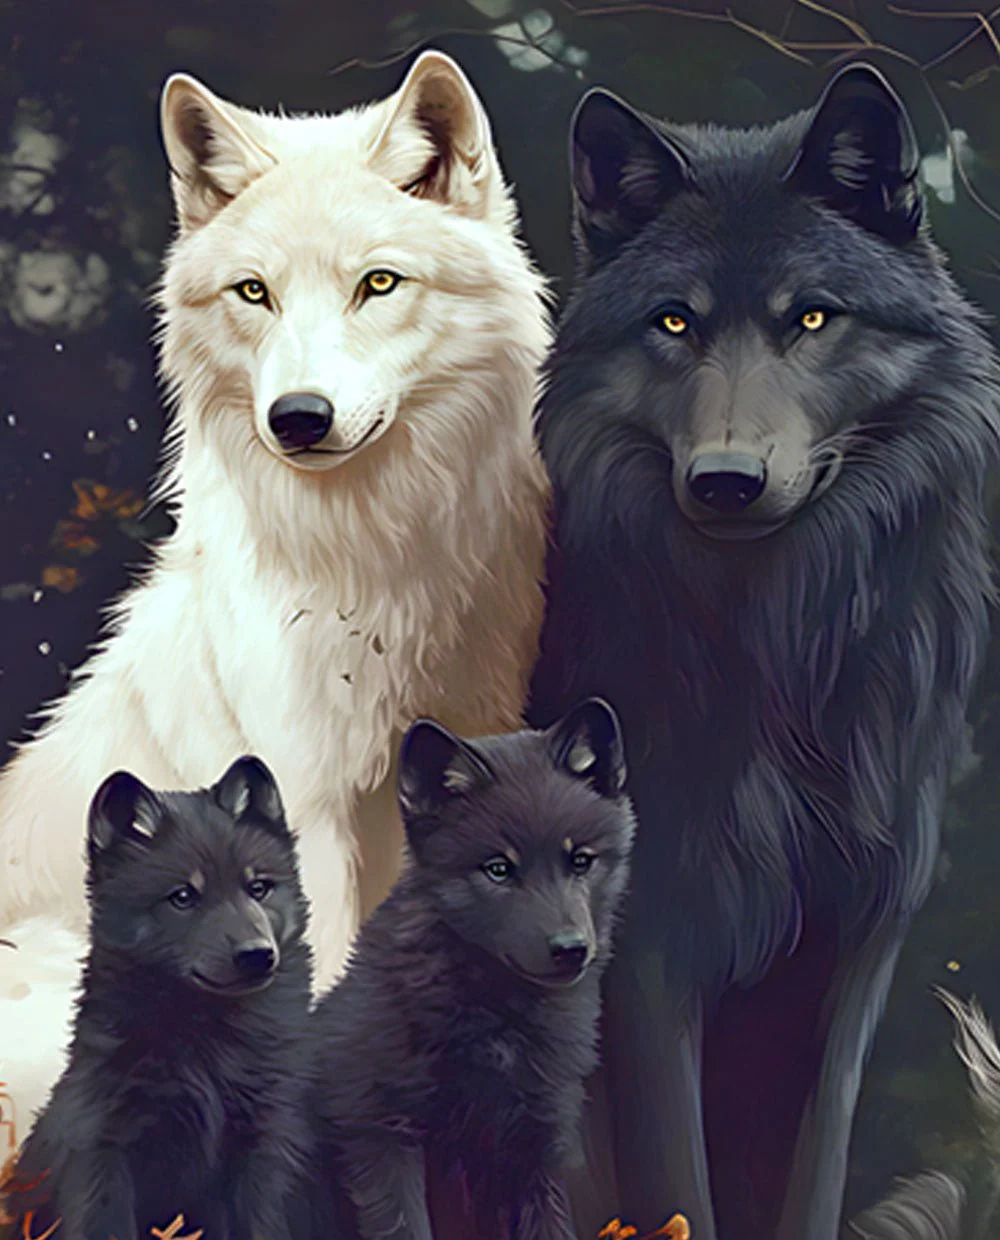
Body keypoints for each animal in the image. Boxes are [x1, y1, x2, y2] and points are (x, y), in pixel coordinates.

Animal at [0, 756, 313, 1240]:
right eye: (183, 897)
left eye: (258, 888)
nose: (258, 955)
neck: (210, 1046)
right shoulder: (104, 1145)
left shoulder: (264, 1143)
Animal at [306, 699, 635, 1240]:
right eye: (498, 869)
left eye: (581, 861)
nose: (570, 949)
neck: (499, 1021)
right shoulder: (379, 1135)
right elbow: (405, 1227)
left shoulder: (536, 1145)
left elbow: (550, 1225)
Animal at [528, 62, 1000, 1240]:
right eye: (674, 321)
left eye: (812, 317)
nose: (727, 482)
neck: (783, 654)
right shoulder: (649, 953)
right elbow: (676, 1192)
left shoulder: (850, 951)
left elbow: (810, 1183)